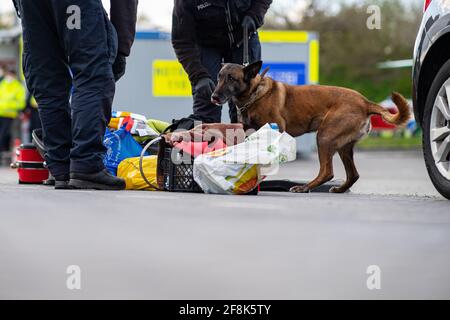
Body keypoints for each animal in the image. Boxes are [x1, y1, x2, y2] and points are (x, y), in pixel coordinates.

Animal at [211, 61, 412, 194]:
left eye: (231, 78)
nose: (213, 96)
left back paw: (304, 187)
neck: (254, 94)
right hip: (343, 147)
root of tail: (365, 102)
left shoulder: (278, 129)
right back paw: (339, 189)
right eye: (219, 76)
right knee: (353, 174)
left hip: (324, 137)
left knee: (327, 172)